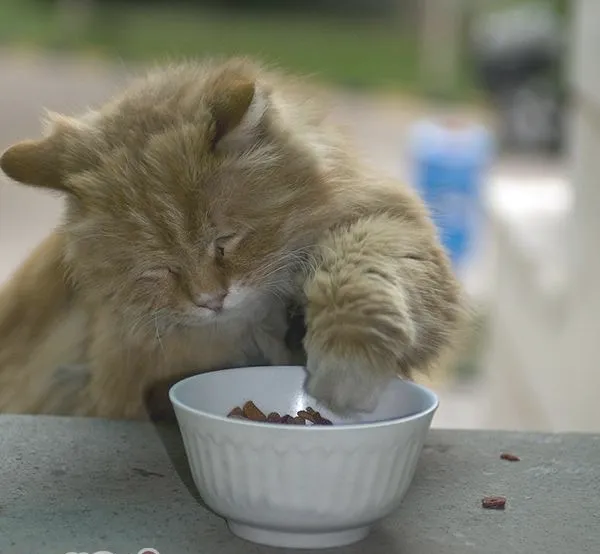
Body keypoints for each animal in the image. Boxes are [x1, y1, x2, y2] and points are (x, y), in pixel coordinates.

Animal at [0, 57, 464, 418]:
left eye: (224, 242)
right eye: (158, 269)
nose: (211, 300)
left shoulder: (382, 220)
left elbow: (362, 277)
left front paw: (347, 374)